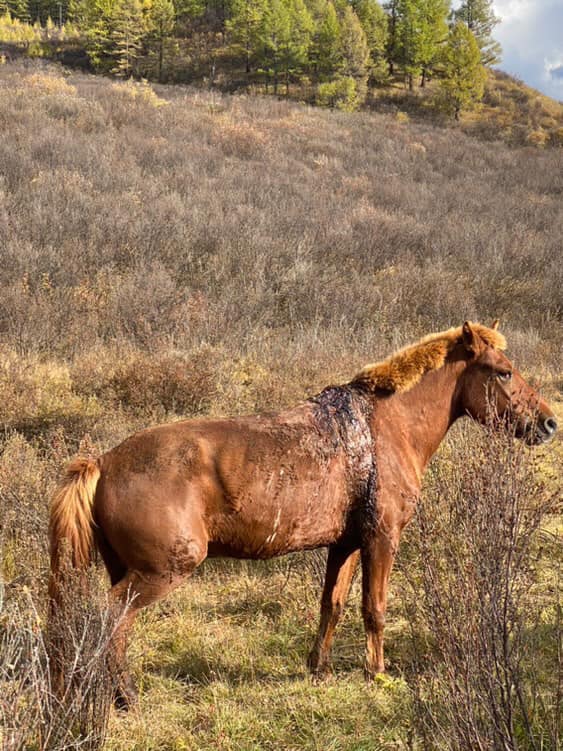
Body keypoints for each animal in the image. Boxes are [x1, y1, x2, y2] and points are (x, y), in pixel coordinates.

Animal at [49, 320, 560, 708]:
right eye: (502, 372)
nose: (549, 423)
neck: (384, 429)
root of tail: (103, 462)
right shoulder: (382, 538)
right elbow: (374, 608)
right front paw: (378, 674)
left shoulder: (346, 543)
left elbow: (332, 605)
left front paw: (320, 670)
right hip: (159, 572)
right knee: (109, 618)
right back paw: (124, 696)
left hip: (126, 568)